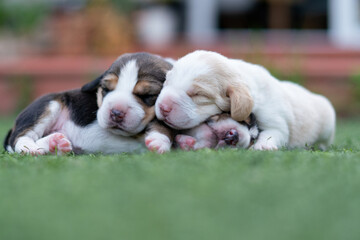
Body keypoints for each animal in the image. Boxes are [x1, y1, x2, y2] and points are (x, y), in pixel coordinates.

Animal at [4, 52, 174, 155]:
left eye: (148, 95)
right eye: (106, 89)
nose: (116, 113)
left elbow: (162, 123)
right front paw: (159, 141)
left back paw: (55, 144)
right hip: (47, 106)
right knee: (20, 137)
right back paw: (32, 148)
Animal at [156, 50, 336, 150]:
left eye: (199, 95)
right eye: (166, 82)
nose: (163, 107)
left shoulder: (275, 121)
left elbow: (273, 133)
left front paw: (263, 146)